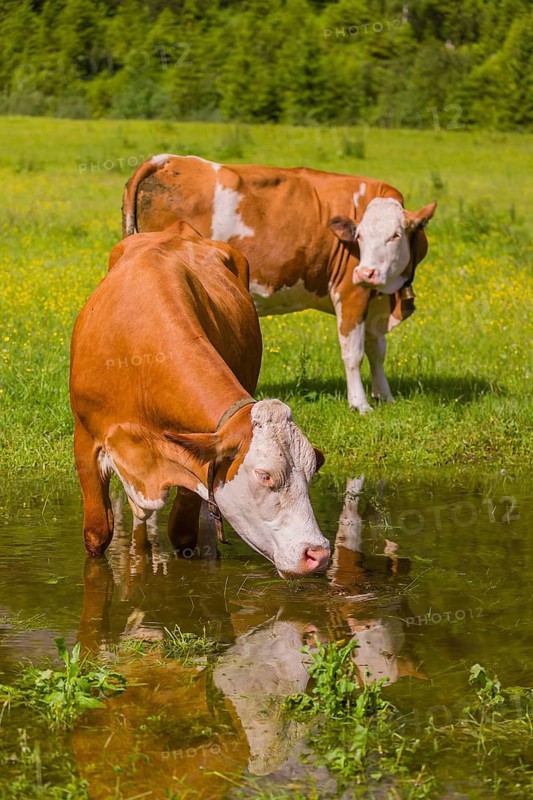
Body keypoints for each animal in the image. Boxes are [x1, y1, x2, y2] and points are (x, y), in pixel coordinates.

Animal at [69, 221, 329, 578]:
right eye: (264, 475)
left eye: (312, 472)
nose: (318, 553)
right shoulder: (85, 441)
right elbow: (97, 535)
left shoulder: (196, 460)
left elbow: (183, 535)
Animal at [122, 155, 436, 414]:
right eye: (359, 236)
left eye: (396, 235)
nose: (366, 272)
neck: (390, 293)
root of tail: (167, 160)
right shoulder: (351, 292)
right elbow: (354, 353)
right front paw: (360, 404)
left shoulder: (374, 301)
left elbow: (377, 350)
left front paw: (385, 396)